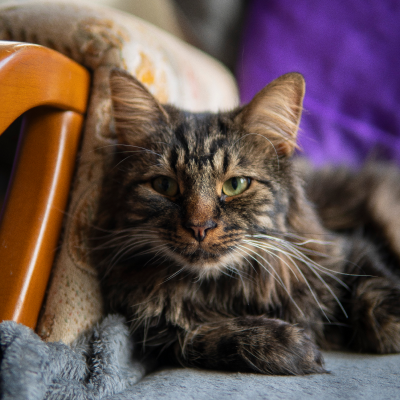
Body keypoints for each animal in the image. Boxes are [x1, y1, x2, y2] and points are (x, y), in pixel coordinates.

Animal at [90, 69, 400, 376]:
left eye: (235, 185)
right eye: (164, 185)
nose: (199, 226)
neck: (223, 289)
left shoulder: (348, 247)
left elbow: (375, 288)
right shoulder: (160, 331)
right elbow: (213, 338)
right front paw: (292, 345)